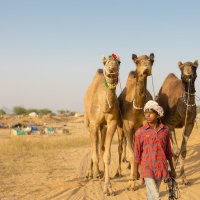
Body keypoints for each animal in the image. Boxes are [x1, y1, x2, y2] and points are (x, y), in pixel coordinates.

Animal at [84, 53, 121, 195]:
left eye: (119, 62)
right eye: (105, 62)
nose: (112, 66)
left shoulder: (111, 123)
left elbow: (107, 155)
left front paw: (108, 187)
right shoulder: (94, 124)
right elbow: (94, 153)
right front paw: (96, 175)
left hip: (102, 127)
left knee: (101, 147)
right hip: (88, 123)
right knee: (93, 146)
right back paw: (91, 173)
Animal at [115, 52, 154, 189]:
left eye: (152, 61)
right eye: (137, 62)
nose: (146, 68)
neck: (136, 108)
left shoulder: (143, 126)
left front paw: (142, 179)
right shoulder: (127, 127)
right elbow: (132, 154)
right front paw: (132, 182)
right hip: (120, 128)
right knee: (121, 147)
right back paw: (118, 172)